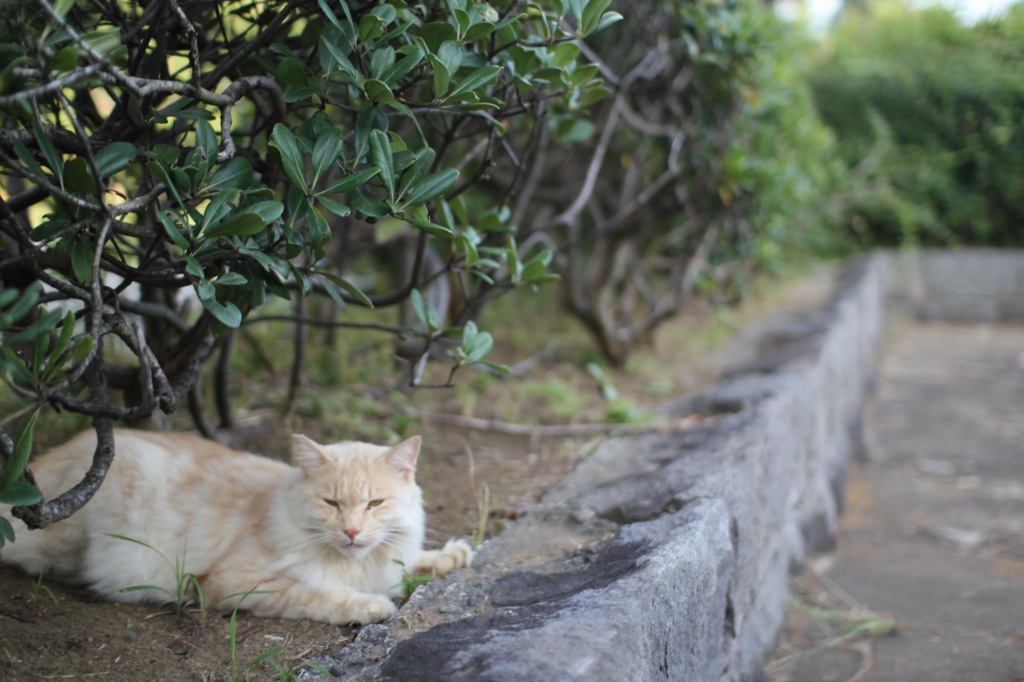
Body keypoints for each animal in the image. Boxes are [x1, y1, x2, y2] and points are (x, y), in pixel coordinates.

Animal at [0, 428, 471, 622]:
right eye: (331, 503)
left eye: (374, 504)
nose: (352, 532)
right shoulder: (236, 583)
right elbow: (318, 596)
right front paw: (371, 606)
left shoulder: (392, 558)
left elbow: (414, 562)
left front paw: (450, 556)